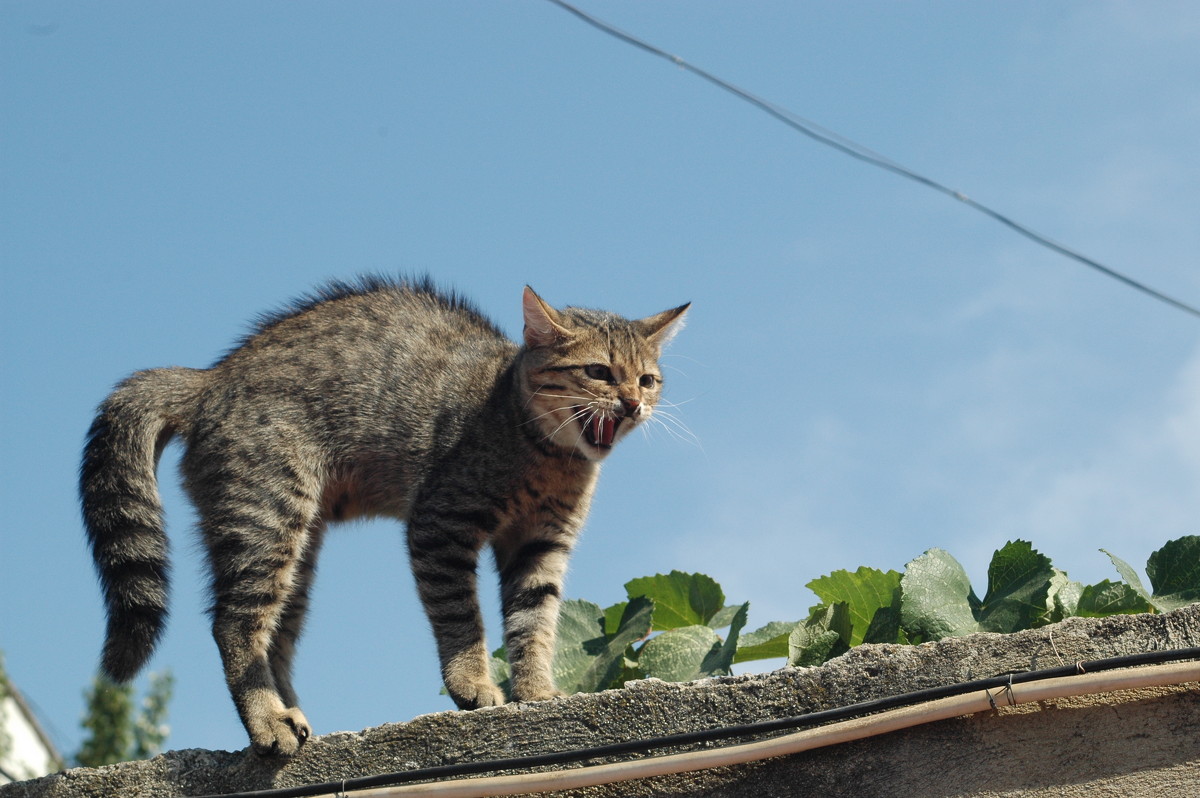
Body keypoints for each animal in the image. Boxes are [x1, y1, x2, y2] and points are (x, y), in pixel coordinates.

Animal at [79, 277, 691, 758]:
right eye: (599, 372)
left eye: (648, 379)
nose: (634, 404)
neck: (548, 455)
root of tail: (208, 379)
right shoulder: (440, 522)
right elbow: (462, 617)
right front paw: (474, 683)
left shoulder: (541, 545)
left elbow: (534, 623)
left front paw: (538, 695)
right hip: (267, 518)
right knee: (232, 623)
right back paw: (268, 721)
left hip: (297, 555)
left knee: (274, 636)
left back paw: (291, 715)